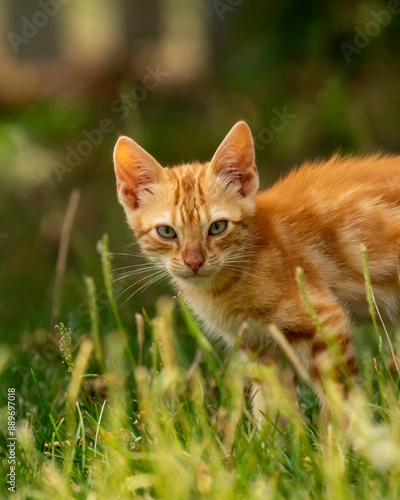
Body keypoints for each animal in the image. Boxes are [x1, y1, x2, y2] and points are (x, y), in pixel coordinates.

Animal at [111, 121, 400, 418]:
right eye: (166, 232)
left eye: (217, 227)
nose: (194, 262)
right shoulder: (259, 348)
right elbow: (272, 409)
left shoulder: (325, 319)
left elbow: (341, 395)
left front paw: (345, 430)